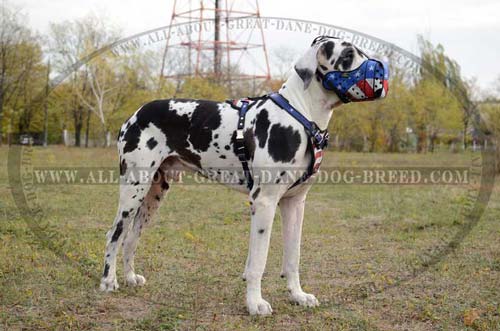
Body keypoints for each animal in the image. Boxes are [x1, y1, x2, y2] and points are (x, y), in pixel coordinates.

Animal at [99, 35, 388, 316]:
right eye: (348, 55)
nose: (383, 73)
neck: (301, 115)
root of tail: (135, 114)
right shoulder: (264, 202)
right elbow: (257, 262)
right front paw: (255, 304)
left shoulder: (295, 204)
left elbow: (292, 258)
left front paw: (298, 295)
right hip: (133, 188)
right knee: (115, 233)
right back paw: (108, 281)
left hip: (154, 193)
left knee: (132, 236)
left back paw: (130, 277)